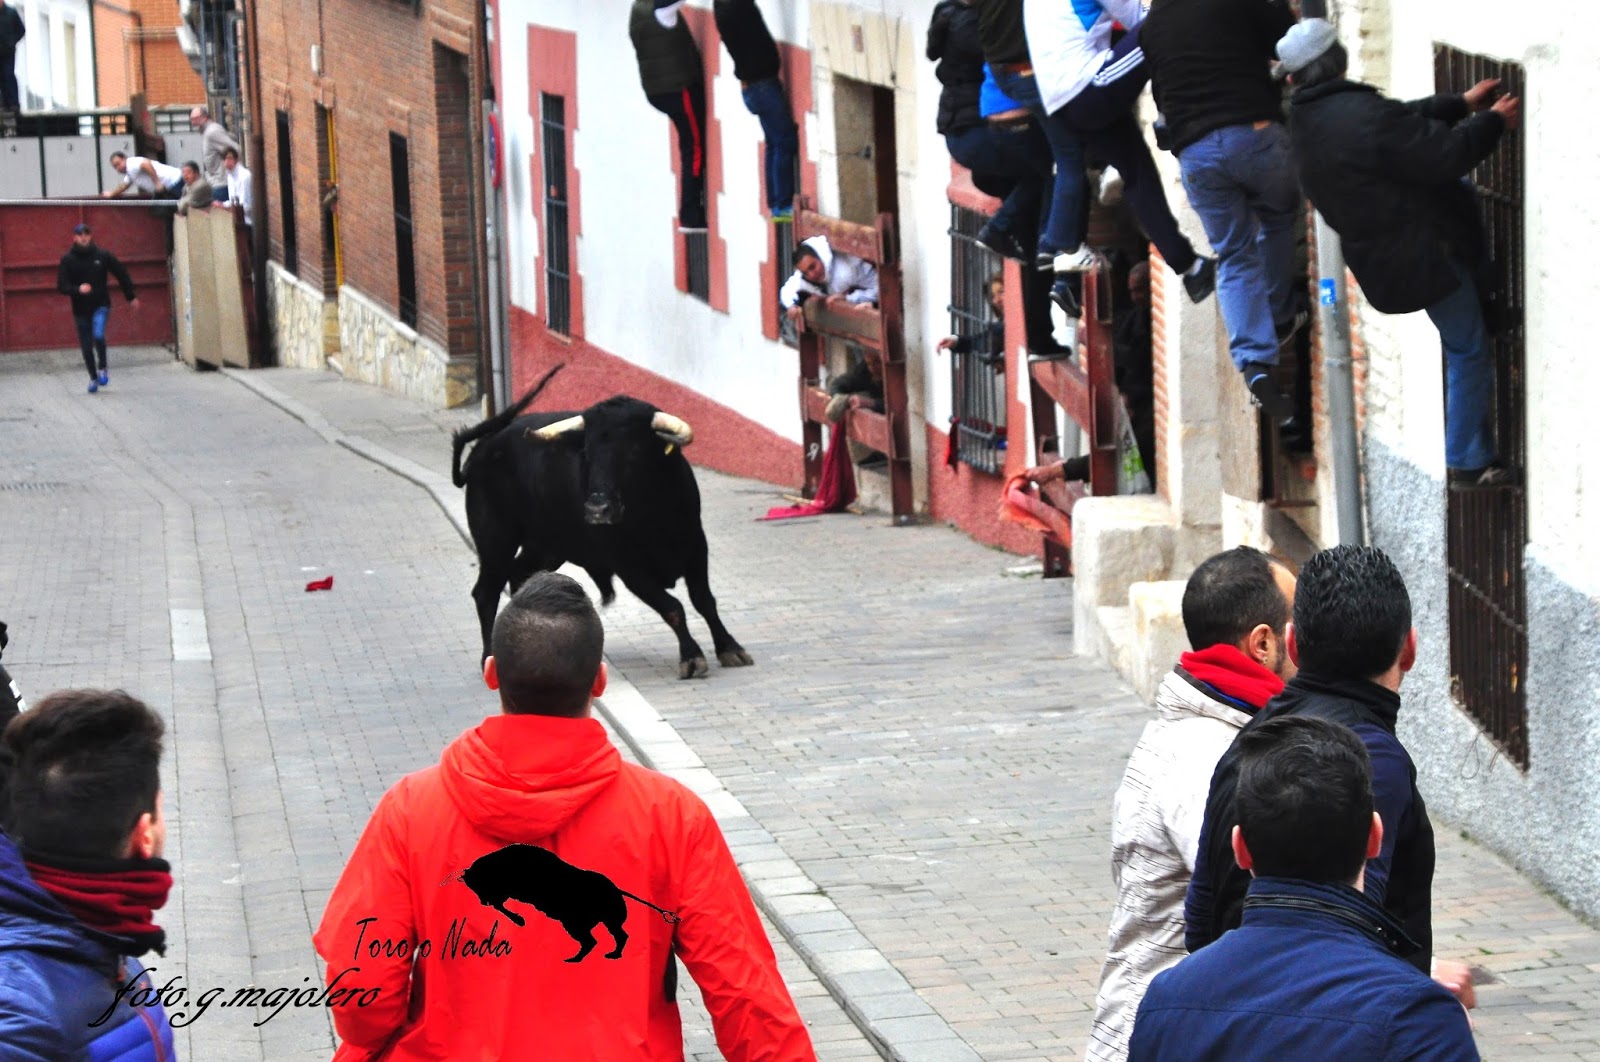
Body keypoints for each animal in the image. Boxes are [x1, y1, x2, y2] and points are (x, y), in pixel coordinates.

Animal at [441, 843, 679, 963]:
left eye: (478, 885)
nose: (483, 902)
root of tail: (614, 889)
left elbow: (503, 905)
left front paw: (519, 920)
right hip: (607, 922)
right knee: (618, 936)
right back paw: (612, 954)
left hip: (576, 923)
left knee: (592, 941)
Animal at [451, 370, 754, 679]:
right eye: (587, 452)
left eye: (635, 450)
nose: (598, 509)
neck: (654, 516)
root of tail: (482, 450)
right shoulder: (628, 567)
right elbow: (673, 607)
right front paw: (692, 657)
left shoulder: (695, 544)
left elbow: (704, 600)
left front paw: (730, 648)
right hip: (495, 541)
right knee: (486, 592)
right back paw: (489, 658)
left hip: (546, 547)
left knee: (519, 576)